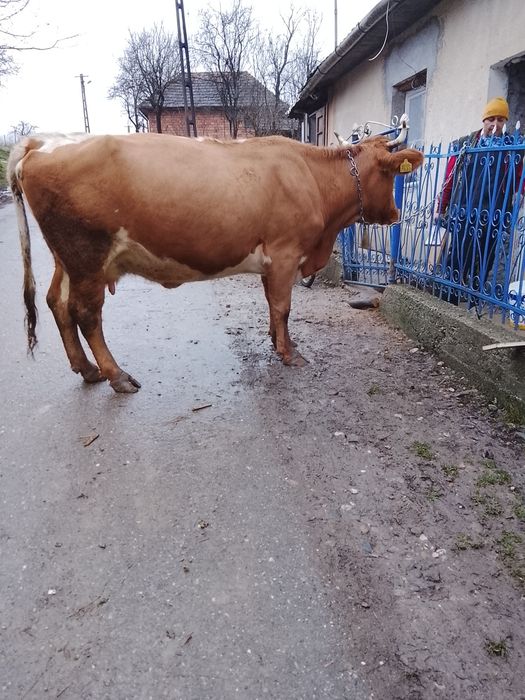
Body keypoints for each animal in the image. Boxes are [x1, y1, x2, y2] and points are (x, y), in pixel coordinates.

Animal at [8, 131, 423, 393]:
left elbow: (272, 305)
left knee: (57, 303)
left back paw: (87, 369)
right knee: (86, 313)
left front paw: (276, 341)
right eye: (390, 177)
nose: (395, 213)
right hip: (87, 255)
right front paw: (290, 354)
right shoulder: (286, 252)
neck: (311, 175)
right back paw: (117, 375)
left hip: (67, 260)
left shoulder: (272, 261)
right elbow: (284, 306)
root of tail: (42, 141)